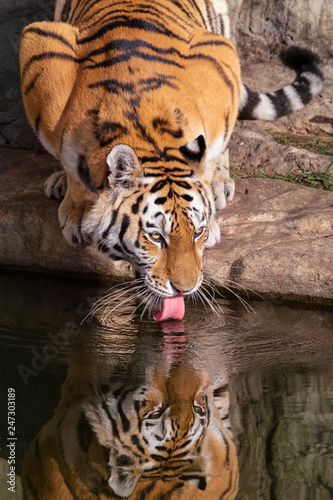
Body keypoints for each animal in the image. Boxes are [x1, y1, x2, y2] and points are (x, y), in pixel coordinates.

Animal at [19, 0, 322, 316]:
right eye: (155, 237)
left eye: (197, 232)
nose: (186, 289)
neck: (146, 134)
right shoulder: (41, 49)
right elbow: (71, 167)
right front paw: (77, 213)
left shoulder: (219, 64)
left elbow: (211, 156)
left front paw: (213, 211)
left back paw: (221, 184)